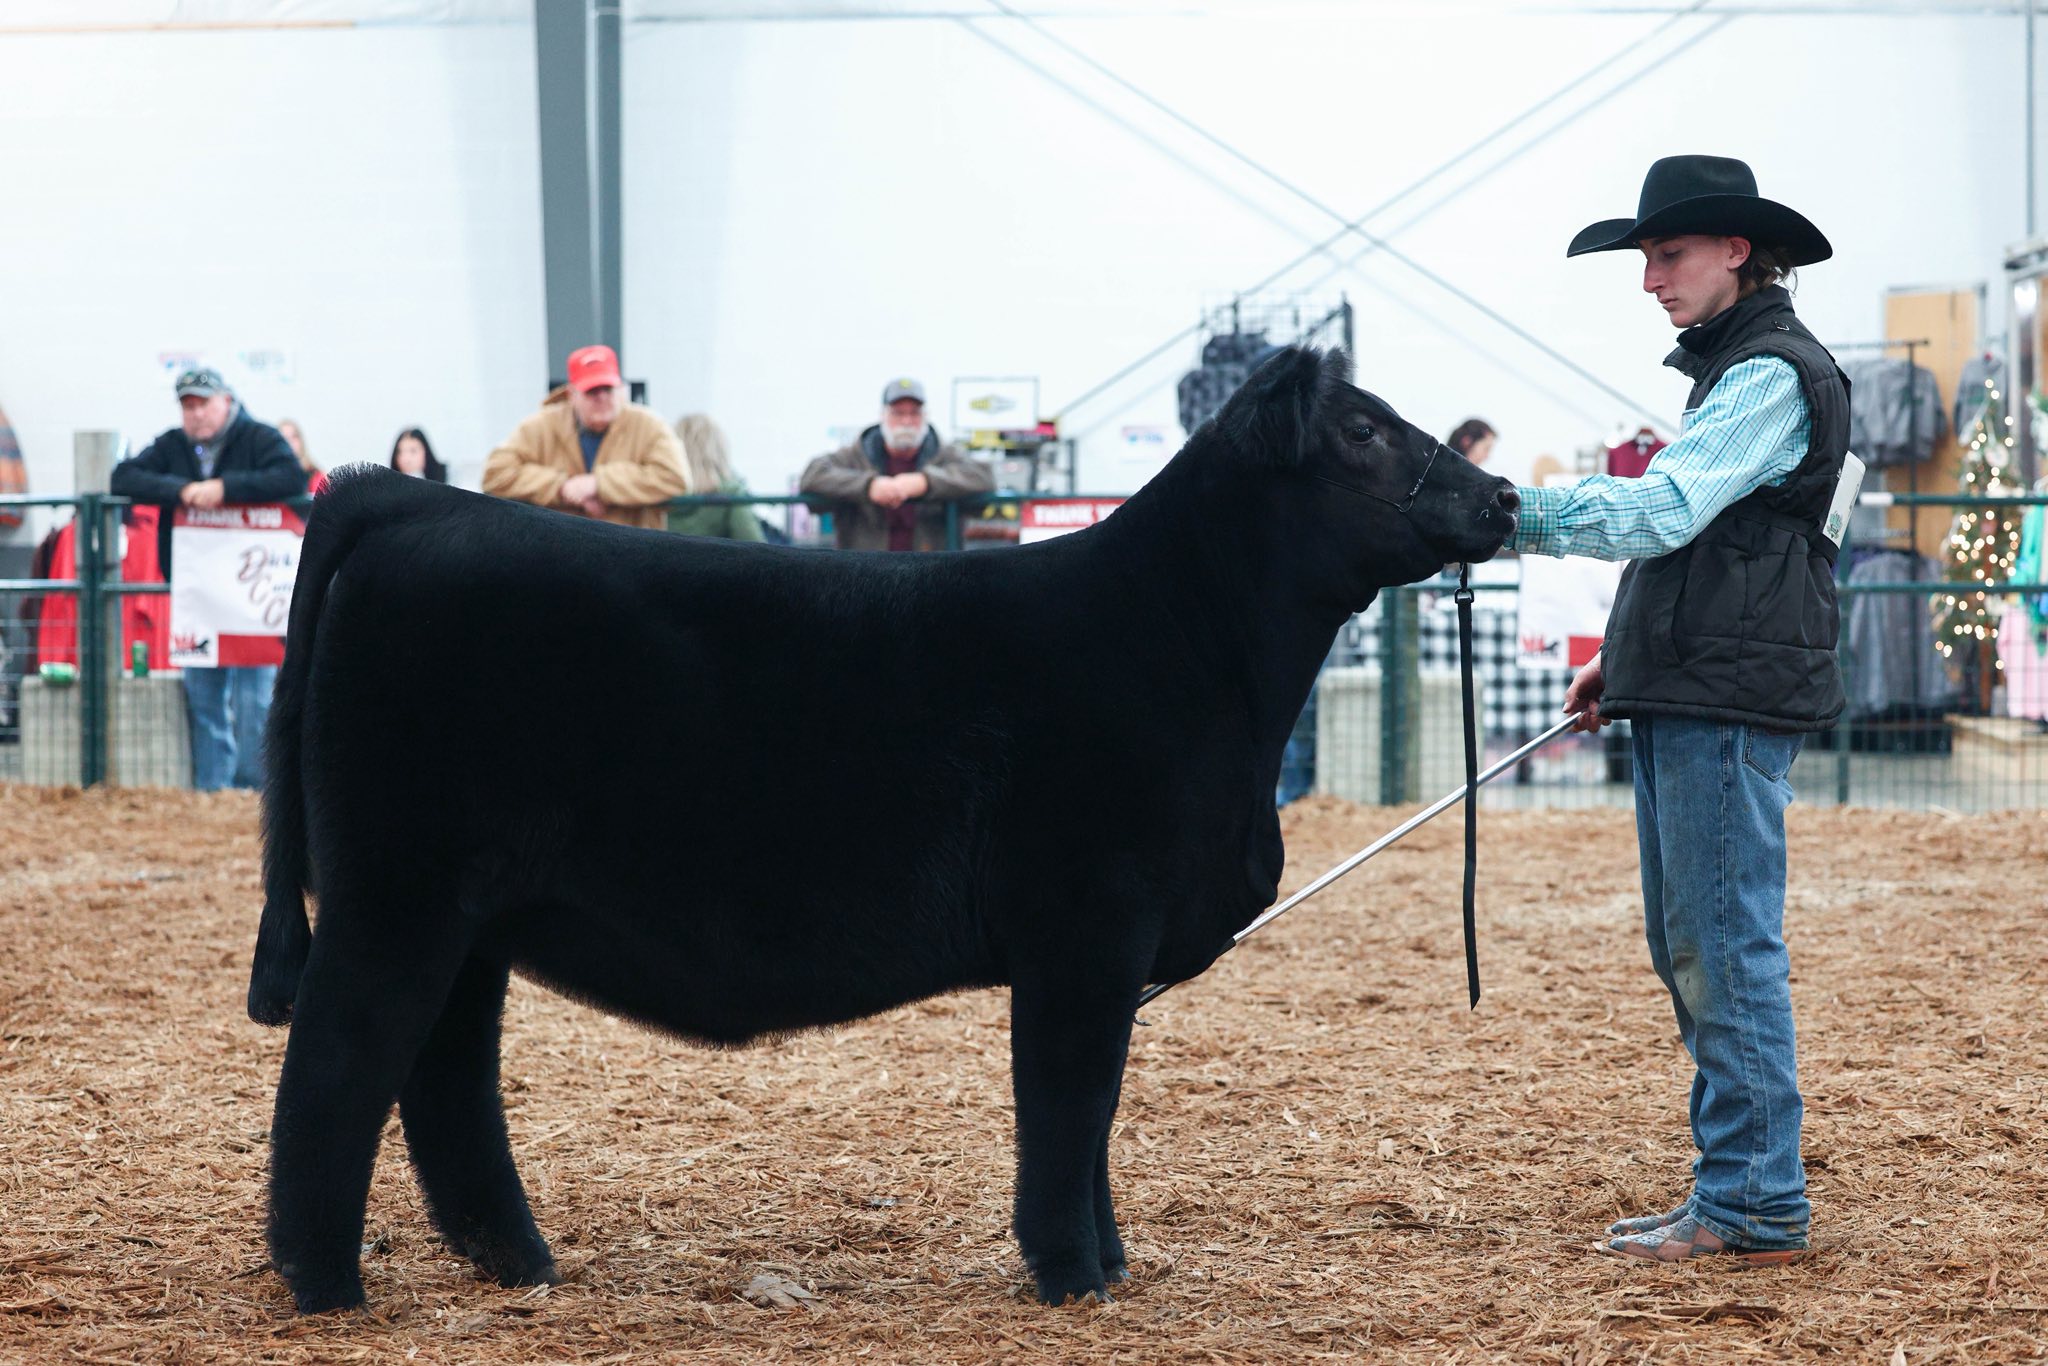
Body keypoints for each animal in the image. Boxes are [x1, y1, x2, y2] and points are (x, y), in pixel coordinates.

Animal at [245, 346, 1519, 1314]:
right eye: (1361, 428)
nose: (1503, 497)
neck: (1187, 643)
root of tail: (410, 499)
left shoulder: (1107, 948)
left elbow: (1096, 1114)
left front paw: (1105, 1263)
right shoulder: (1084, 927)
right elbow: (1068, 1104)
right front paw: (1072, 1275)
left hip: (471, 913)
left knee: (444, 1071)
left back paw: (517, 1262)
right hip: (396, 893)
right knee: (339, 1060)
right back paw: (328, 1286)